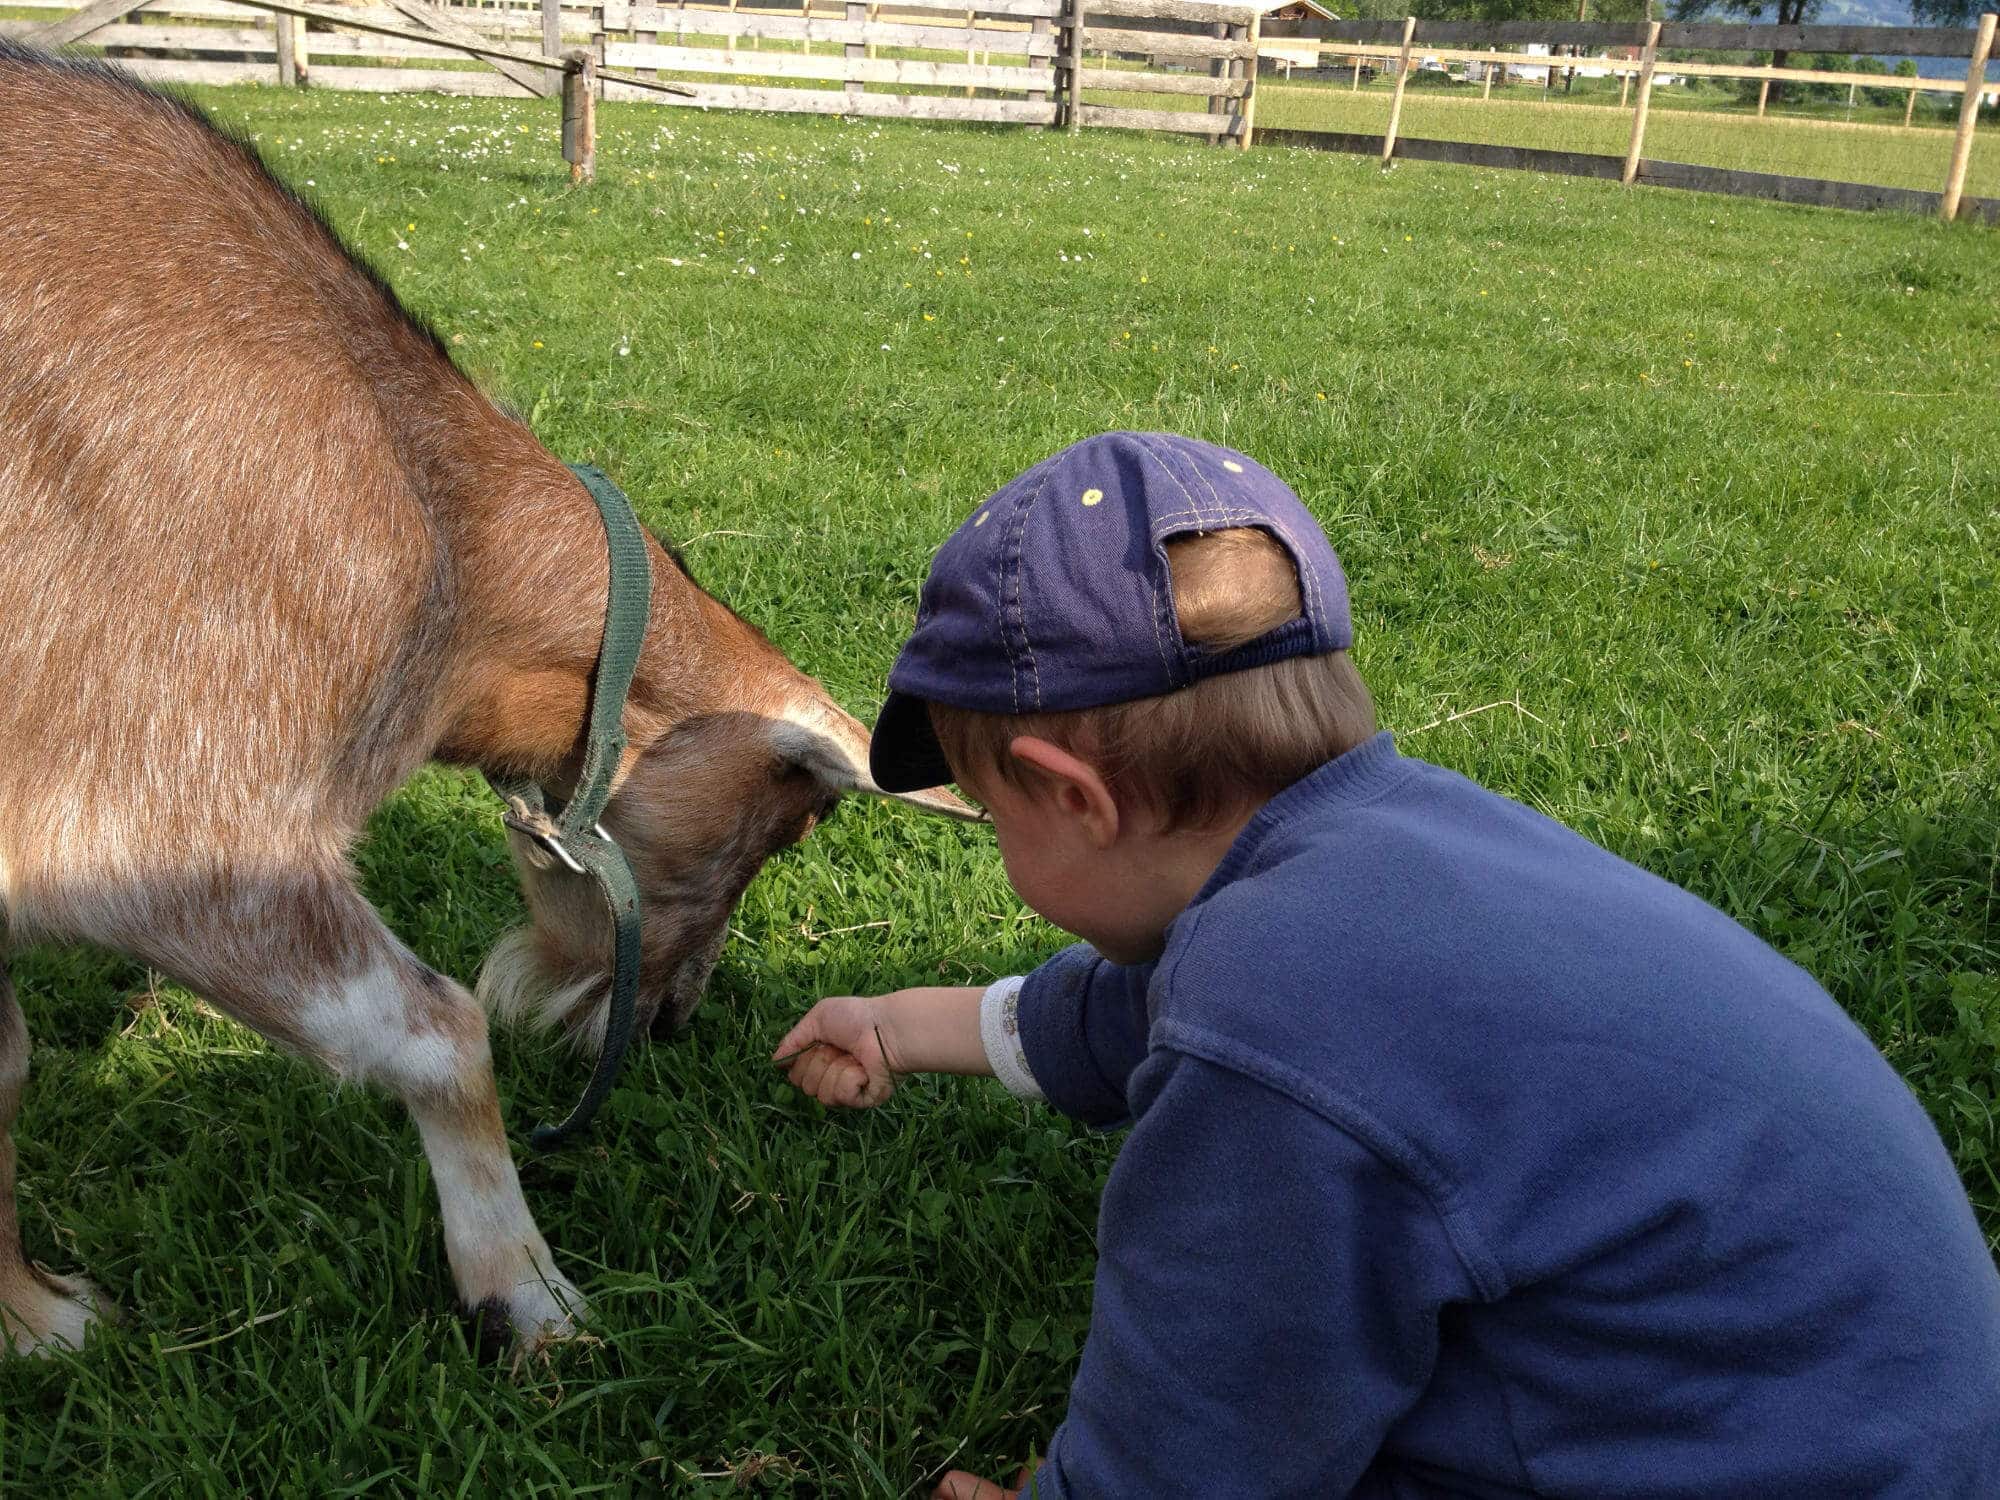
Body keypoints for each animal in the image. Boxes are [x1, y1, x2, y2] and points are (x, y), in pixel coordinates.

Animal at [0, 44, 968, 1360]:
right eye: (780, 830)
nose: (670, 1022)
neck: (431, 497)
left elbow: (3, 1064)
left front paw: (31, 1319)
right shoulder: (155, 818)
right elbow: (443, 1029)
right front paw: (531, 1297)